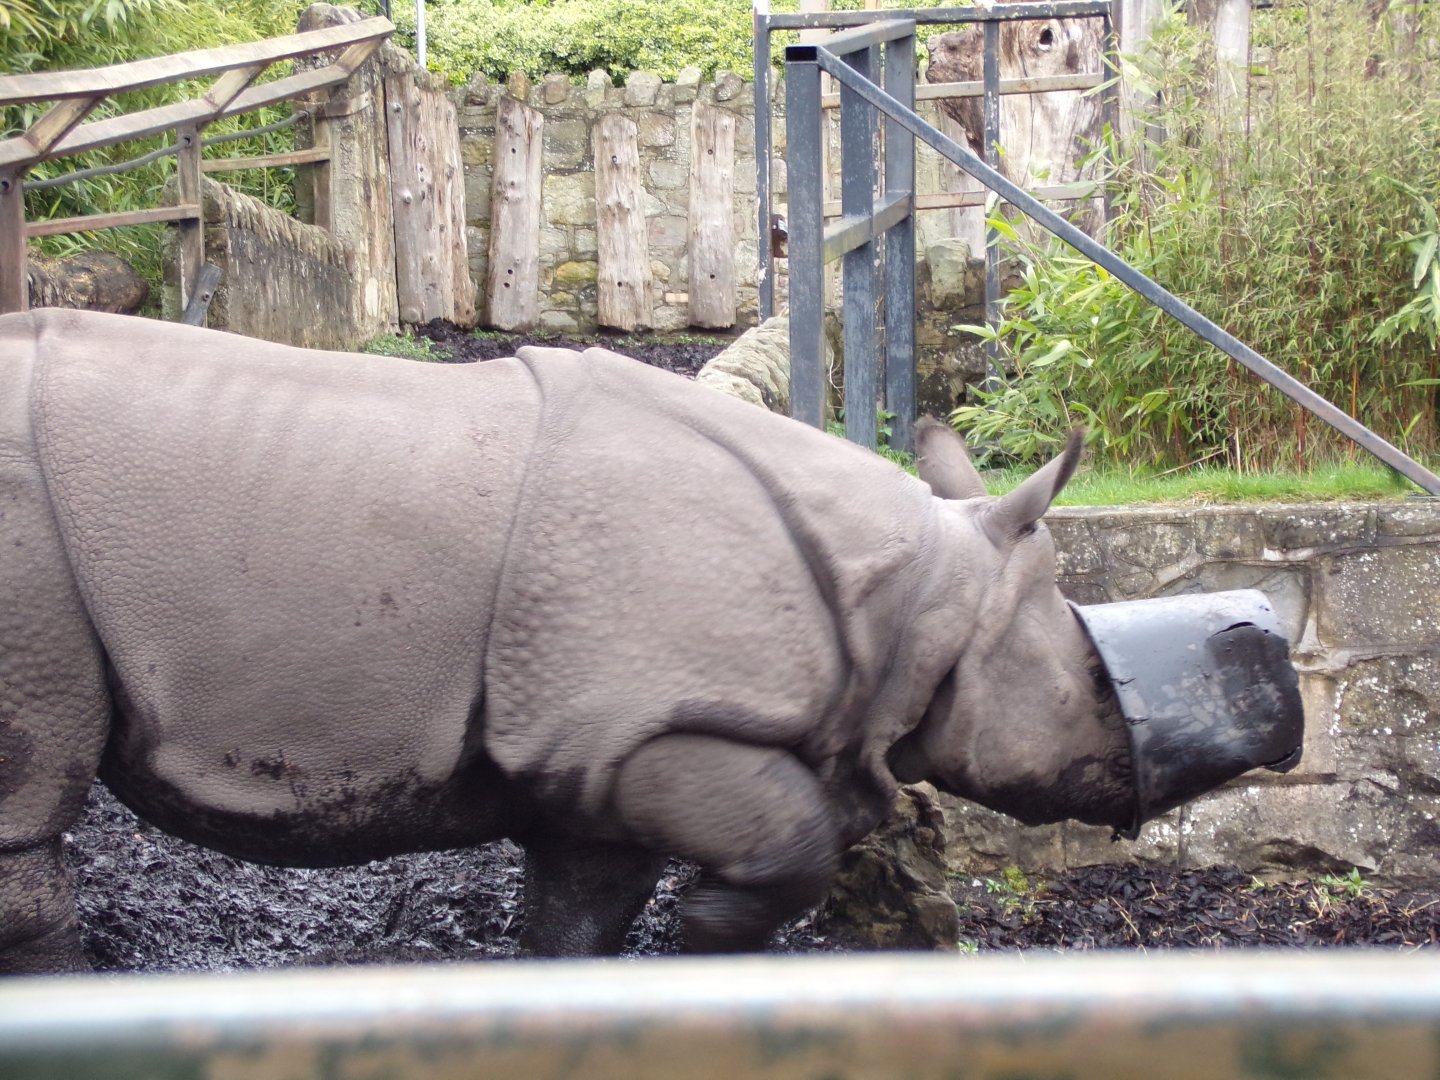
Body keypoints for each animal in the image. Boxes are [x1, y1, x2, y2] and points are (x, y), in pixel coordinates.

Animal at [0, 310, 1302, 973]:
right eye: (1088, 674)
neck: (917, 602)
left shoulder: (590, 752)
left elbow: (581, 918)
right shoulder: (651, 728)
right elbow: (789, 844)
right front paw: (711, 936)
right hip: (28, 545)